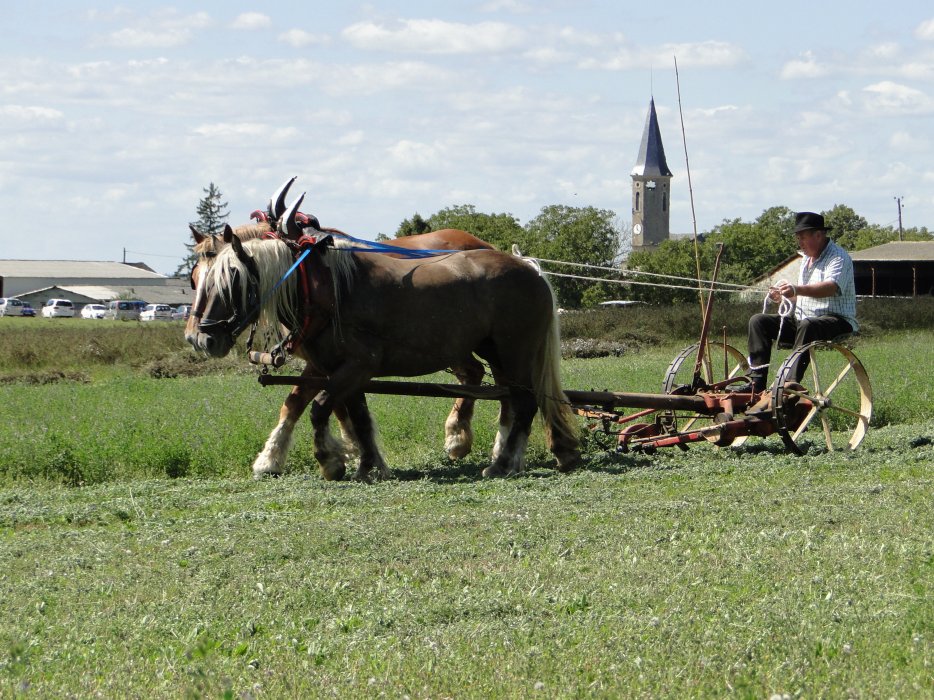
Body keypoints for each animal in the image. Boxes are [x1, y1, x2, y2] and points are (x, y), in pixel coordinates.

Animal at [186, 230, 580, 482]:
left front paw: (330, 460)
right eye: (195, 280)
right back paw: (509, 457)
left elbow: (319, 408)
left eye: (231, 282)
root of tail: (529, 267)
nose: (202, 338)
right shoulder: (339, 369)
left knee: (525, 402)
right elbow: (353, 416)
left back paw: (505, 462)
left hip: (516, 350)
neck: (325, 292)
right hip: (496, 353)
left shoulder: (358, 365)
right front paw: (367, 464)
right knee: (509, 399)